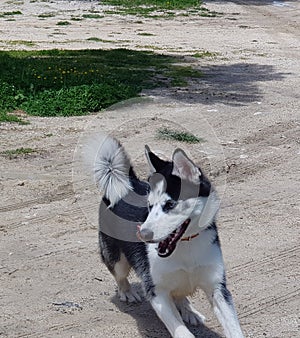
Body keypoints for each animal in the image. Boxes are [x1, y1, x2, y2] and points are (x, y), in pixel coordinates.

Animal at [92, 135, 244, 338]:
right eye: (149, 206)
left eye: (170, 204)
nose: (142, 234)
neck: (185, 246)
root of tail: (128, 183)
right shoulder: (156, 292)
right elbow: (182, 332)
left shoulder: (217, 288)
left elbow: (234, 328)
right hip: (117, 259)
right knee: (119, 275)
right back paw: (127, 292)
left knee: (180, 292)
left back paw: (189, 310)